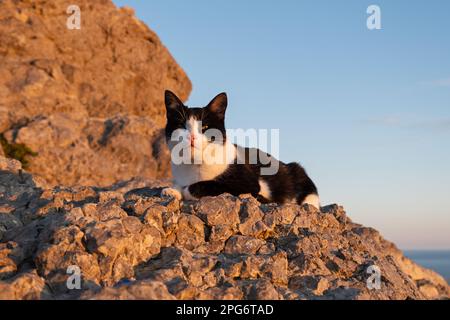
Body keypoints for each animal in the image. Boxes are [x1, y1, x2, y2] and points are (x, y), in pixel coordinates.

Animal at [162, 91, 320, 209]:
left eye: (205, 127)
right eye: (182, 125)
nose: (192, 137)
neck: (194, 164)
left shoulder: (247, 184)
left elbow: (199, 186)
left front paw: (183, 190)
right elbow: (178, 185)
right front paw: (172, 190)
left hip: (298, 173)